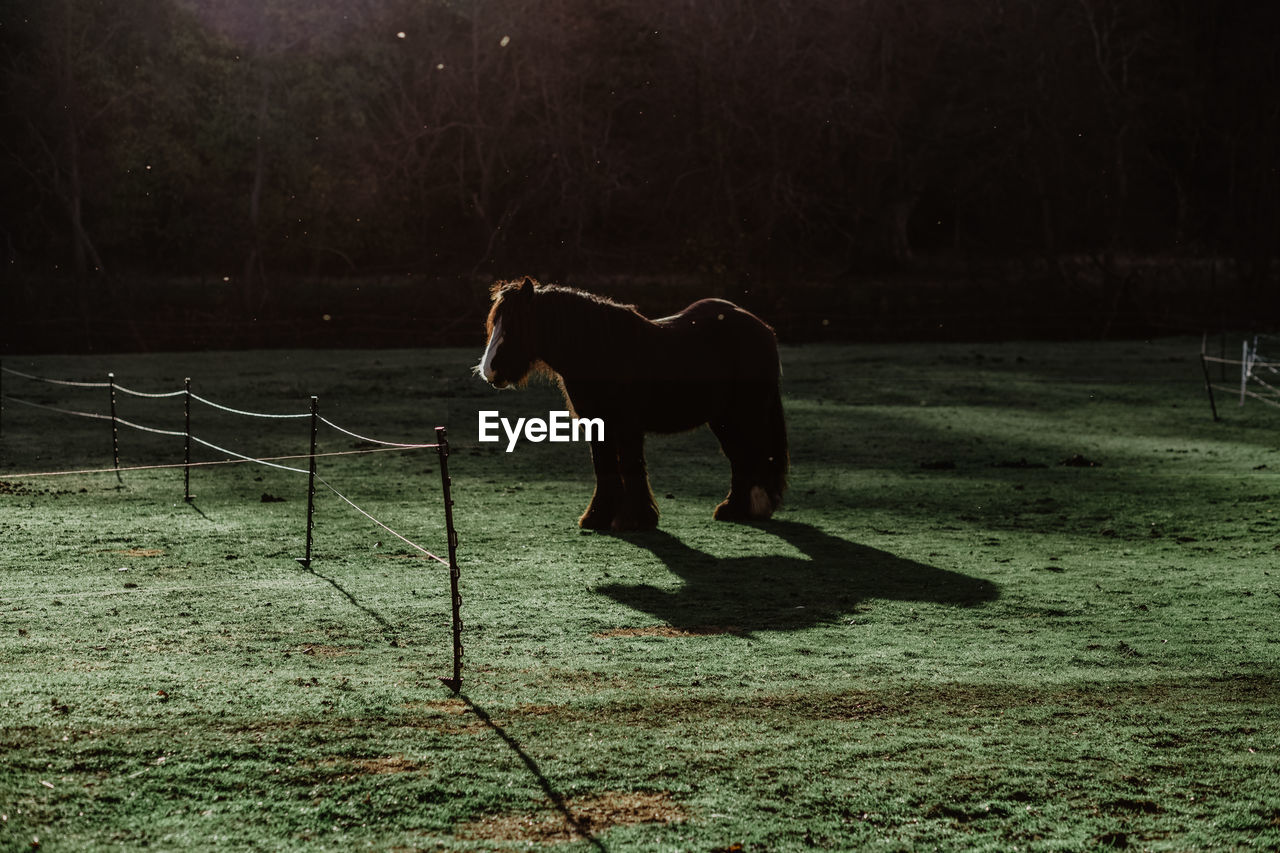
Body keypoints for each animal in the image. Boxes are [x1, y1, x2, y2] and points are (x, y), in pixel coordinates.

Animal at [476, 275, 783, 527]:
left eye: (515, 325)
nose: (489, 370)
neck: (602, 352)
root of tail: (763, 328)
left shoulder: (627, 425)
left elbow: (631, 466)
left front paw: (635, 519)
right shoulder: (597, 423)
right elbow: (604, 466)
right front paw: (598, 517)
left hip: (745, 412)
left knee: (751, 454)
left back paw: (749, 508)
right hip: (723, 418)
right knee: (740, 458)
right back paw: (733, 510)